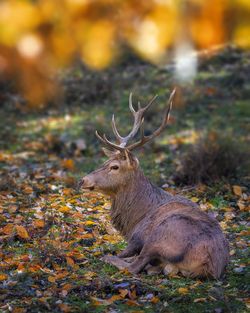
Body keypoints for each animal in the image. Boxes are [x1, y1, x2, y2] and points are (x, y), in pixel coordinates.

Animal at [79, 89, 229, 278]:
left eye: (114, 167)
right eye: (105, 162)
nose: (83, 180)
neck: (135, 219)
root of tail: (207, 265)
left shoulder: (137, 238)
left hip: (160, 235)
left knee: (134, 266)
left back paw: (110, 258)